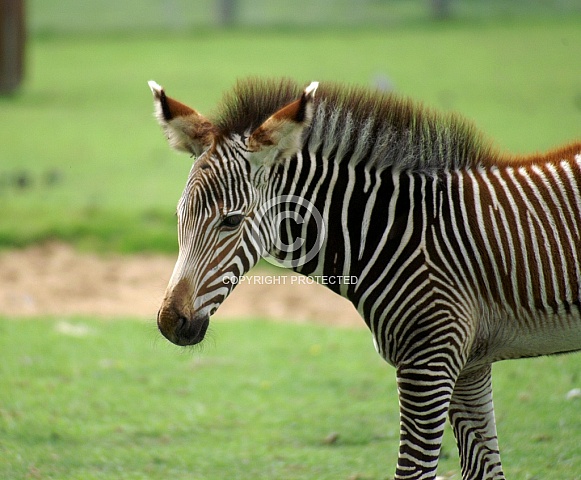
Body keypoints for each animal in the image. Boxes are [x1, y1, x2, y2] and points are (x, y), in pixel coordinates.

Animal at [148, 77, 580, 478]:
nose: (170, 323)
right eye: (179, 216)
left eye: (232, 220)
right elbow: (483, 470)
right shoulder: (470, 363)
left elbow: (413, 471)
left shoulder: (429, 361)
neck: (396, 235)